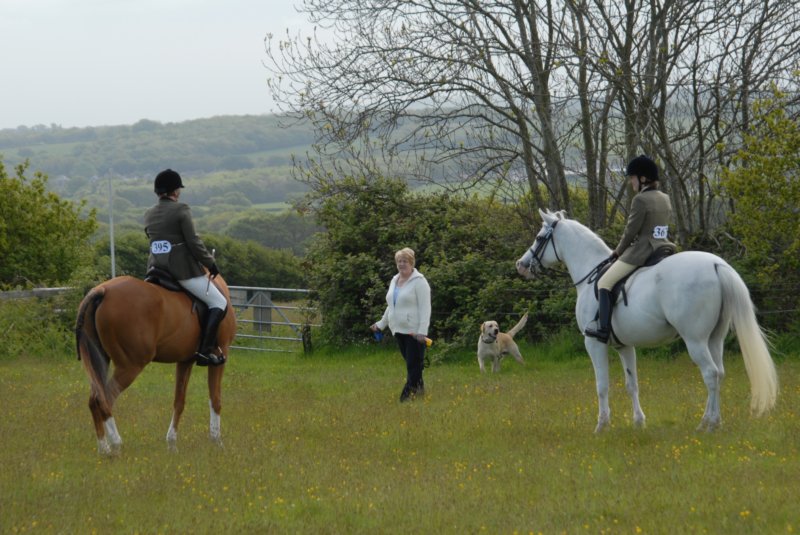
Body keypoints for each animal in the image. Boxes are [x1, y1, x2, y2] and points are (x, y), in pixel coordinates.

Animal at [73, 276, 236, 456]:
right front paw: (217, 443)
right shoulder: (221, 355)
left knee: (94, 400)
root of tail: (103, 291)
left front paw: (172, 445)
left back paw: (104, 449)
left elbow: (179, 402)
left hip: (101, 359)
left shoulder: (185, 361)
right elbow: (215, 399)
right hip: (130, 366)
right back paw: (116, 444)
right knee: (104, 399)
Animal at [516, 207, 780, 434]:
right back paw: (710, 421)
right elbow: (632, 384)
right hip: (715, 339)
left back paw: (710, 424)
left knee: (710, 374)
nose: (521, 265)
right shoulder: (624, 346)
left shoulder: (593, 343)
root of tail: (716, 264)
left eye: (539, 238)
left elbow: (602, 385)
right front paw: (638, 422)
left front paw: (602, 425)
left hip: (695, 341)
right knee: (720, 373)